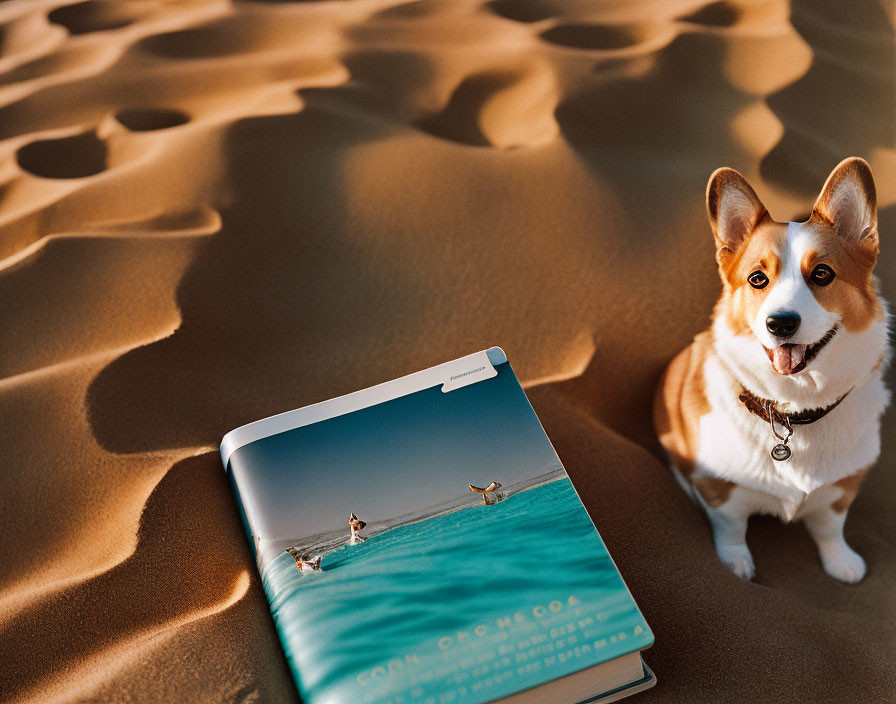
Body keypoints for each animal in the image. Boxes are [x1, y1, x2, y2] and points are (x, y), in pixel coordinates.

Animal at [652, 158, 888, 584]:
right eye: (757, 279)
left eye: (823, 274)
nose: (780, 323)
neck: (796, 407)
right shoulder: (720, 490)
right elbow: (731, 527)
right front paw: (736, 566)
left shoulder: (843, 488)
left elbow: (830, 527)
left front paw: (841, 561)